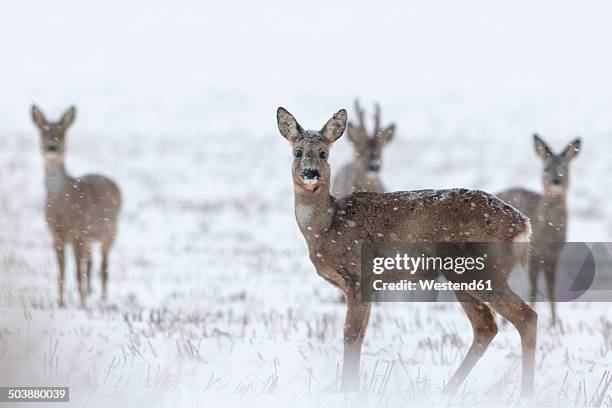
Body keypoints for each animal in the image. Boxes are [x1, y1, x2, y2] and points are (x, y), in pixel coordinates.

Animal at [31, 103, 122, 308]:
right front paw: (61, 302)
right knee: (91, 263)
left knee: (103, 266)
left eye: (61, 133)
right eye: (43, 131)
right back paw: (90, 293)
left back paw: (102, 299)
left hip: (110, 232)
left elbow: (77, 273)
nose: (52, 148)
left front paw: (81, 304)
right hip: (90, 239)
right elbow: (62, 271)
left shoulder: (78, 233)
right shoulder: (56, 236)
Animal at [276, 107, 536, 396]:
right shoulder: (365, 285)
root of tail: (522, 224)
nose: (310, 173)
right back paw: (447, 391)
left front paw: (346, 391)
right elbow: (360, 336)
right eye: (297, 152)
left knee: (526, 318)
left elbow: (349, 335)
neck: (327, 227)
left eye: (324, 153)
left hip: (480, 271)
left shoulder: (358, 276)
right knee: (486, 328)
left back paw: (525, 393)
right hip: (463, 277)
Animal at [498, 134, 580, 326]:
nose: (556, 181)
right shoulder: (535, 255)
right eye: (546, 168)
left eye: (564, 169)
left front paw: (554, 323)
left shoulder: (554, 256)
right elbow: (534, 290)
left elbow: (551, 290)